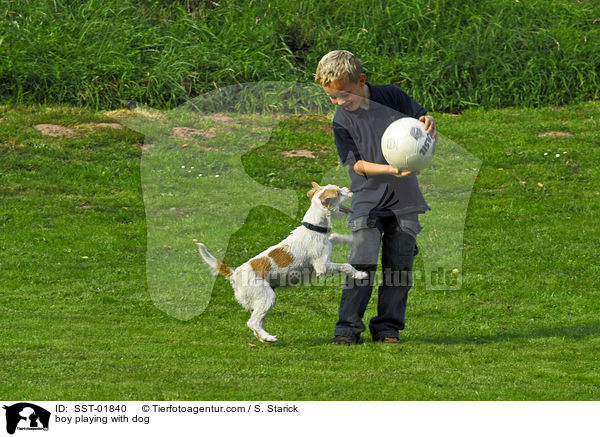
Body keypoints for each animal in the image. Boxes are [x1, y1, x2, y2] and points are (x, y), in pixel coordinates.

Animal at [196, 181, 366, 340]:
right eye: (338, 192)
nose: (350, 189)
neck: (314, 228)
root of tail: (234, 274)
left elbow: (335, 237)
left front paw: (350, 239)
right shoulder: (322, 267)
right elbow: (346, 266)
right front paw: (359, 274)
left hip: (261, 302)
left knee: (257, 322)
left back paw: (262, 337)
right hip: (267, 297)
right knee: (252, 322)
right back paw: (268, 337)